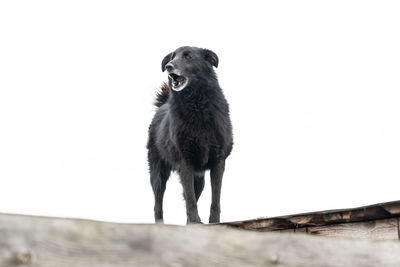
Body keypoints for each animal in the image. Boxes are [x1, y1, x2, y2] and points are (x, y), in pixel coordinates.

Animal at [148, 46, 233, 224]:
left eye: (188, 57)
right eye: (171, 58)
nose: (168, 67)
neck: (197, 105)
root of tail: (162, 105)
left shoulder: (218, 161)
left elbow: (215, 198)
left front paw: (214, 222)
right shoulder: (184, 161)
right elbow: (190, 198)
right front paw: (195, 221)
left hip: (199, 178)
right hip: (158, 173)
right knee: (158, 203)